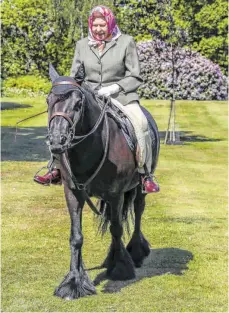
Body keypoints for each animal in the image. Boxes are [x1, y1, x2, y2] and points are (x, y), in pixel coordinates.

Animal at [46, 64, 159, 298]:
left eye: (78, 104)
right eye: (48, 100)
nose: (57, 141)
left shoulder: (115, 194)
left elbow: (116, 229)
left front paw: (120, 268)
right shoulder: (73, 193)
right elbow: (76, 237)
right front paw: (74, 281)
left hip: (140, 187)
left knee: (138, 212)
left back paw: (135, 251)